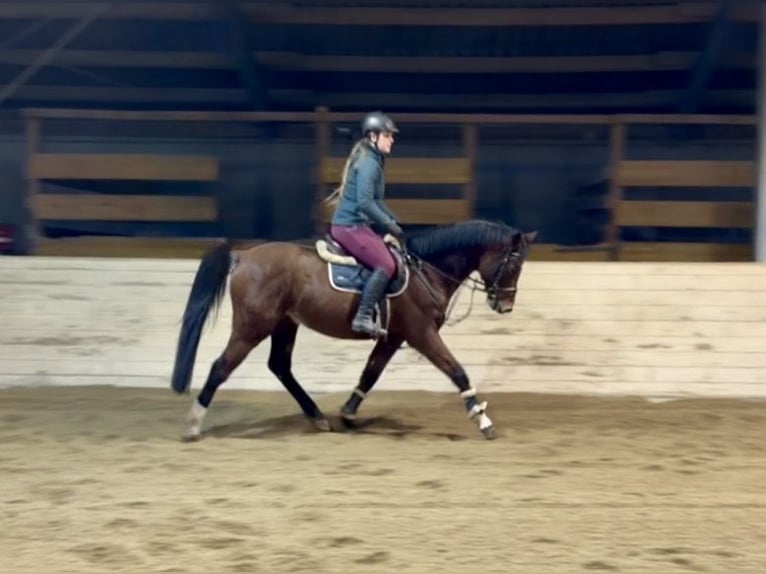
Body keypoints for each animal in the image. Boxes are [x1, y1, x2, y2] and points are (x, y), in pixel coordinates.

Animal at [170, 219, 537, 440]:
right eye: (514, 265)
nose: (505, 305)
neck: (426, 270)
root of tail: (243, 257)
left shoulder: (395, 337)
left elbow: (370, 373)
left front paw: (348, 413)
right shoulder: (421, 334)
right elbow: (456, 370)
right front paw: (483, 419)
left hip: (285, 324)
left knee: (280, 366)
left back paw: (318, 417)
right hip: (252, 327)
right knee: (221, 367)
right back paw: (193, 424)